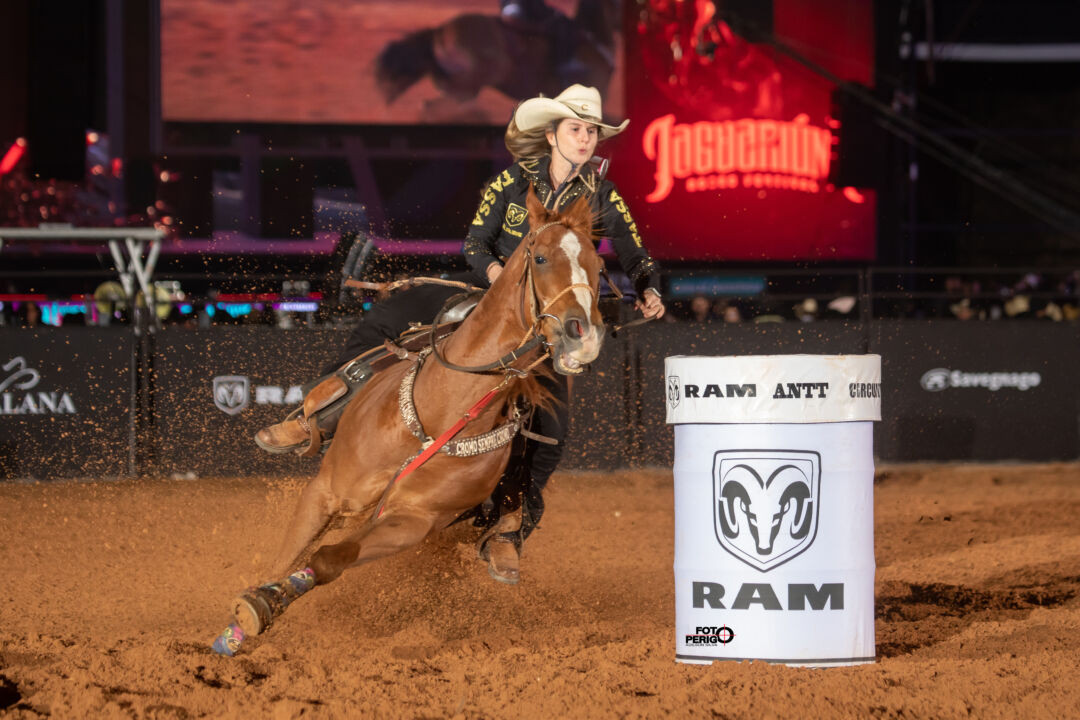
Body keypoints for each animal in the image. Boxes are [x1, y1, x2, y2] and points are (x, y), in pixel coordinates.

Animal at [214, 188, 604, 656]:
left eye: (599, 268)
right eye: (541, 258)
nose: (584, 336)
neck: (441, 414)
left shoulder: (413, 523)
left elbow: (327, 559)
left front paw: (260, 609)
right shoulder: (324, 492)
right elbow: (287, 556)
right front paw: (237, 629)